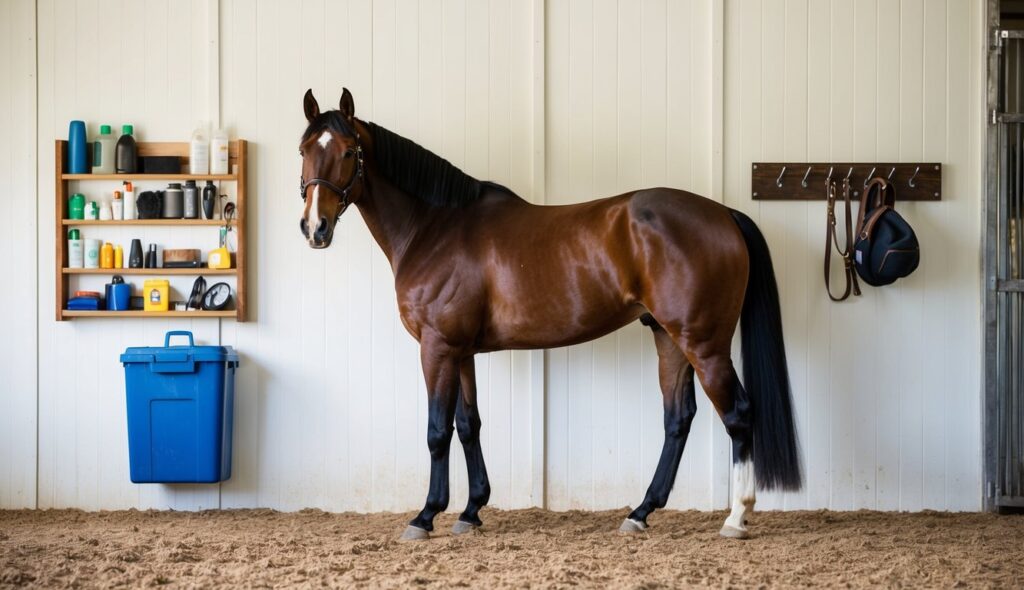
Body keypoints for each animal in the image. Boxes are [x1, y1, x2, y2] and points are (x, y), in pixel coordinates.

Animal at [296, 88, 798, 540]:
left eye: (348, 152)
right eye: (304, 149)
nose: (315, 228)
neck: (433, 228)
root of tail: (725, 214)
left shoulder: (437, 348)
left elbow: (438, 431)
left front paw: (425, 516)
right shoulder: (461, 352)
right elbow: (469, 425)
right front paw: (471, 511)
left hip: (703, 343)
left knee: (737, 414)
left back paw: (736, 518)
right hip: (667, 337)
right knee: (678, 419)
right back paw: (640, 513)